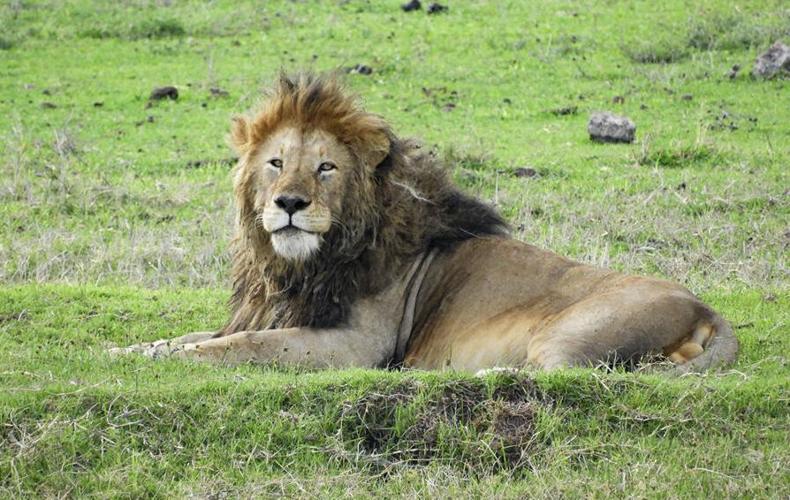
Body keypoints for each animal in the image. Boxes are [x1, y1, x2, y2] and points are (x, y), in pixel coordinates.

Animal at [111, 72, 738, 373]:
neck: (300, 267)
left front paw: (169, 360)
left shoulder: (354, 348)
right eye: (275, 163)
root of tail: (708, 308)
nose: (289, 203)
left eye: (325, 167)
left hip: (569, 334)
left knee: (573, 375)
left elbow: (239, 348)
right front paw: (132, 351)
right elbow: (200, 337)